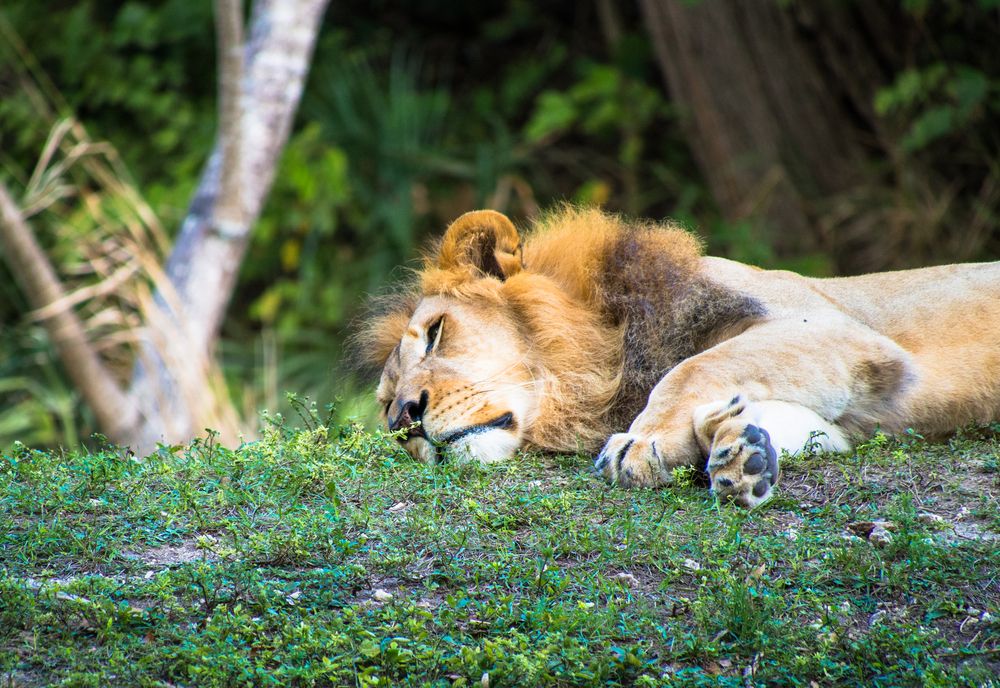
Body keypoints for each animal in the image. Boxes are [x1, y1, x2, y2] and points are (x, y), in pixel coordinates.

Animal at [358, 207, 1000, 506]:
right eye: (386, 408)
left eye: (436, 333)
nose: (405, 421)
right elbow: (808, 424)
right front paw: (744, 451)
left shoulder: (835, 327)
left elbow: (691, 367)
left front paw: (643, 442)